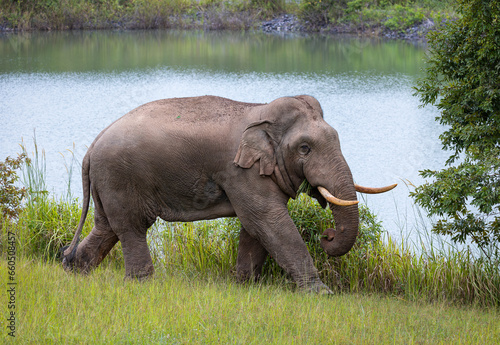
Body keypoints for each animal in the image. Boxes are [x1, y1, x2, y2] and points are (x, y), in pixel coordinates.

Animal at [62, 94, 396, 292]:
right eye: (305, 148)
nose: (326, 235)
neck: (261, 111)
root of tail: (91, 147)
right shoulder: (239, 170)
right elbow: (268, 219)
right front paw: (320, 294)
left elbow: (256, 226)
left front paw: (247, 286)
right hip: (121, 177)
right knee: (132, 227)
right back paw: (142, 284)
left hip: (108, 182)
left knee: (106, 227)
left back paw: (75, 269)